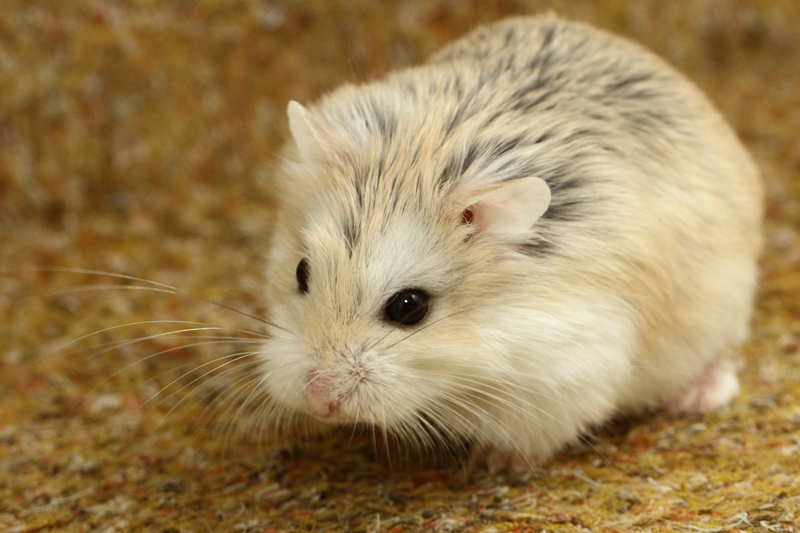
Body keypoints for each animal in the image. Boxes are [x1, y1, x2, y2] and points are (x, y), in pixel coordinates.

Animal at [258, 15, 762, 470]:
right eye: (301, 272)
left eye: (409, 307)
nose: (318, 401)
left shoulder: (566, 375)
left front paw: (494, 462)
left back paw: (702, 394)